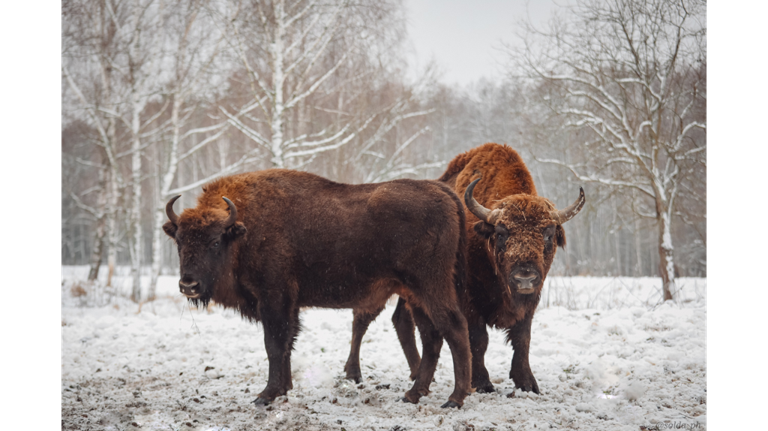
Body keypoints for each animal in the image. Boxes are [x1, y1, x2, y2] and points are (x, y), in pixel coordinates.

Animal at [163, 169, 472, 408]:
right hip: (414, 295)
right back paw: (413, 394)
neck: (245, 229)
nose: (188, 284)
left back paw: (454, 399)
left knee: (455, 328)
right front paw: (284, 389)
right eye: (180, 241)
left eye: (215, 241)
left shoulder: (273, 298)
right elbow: (287, 344)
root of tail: (442, 191)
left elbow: (274, 344)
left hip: (431, 286)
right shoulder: (288, 304)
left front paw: (265, 395)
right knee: (432, 336)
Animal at [342, 144, 584, 394]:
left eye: (548, 234)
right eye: (500, 233)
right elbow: (478, 339)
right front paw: (482, 382)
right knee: (361, 320)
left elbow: (522, 337)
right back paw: (354, 374)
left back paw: (418, 373)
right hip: (376, 285)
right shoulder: (469, 302)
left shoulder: (530, 301)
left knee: (401, 321)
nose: (524, 277)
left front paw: (527, 383)